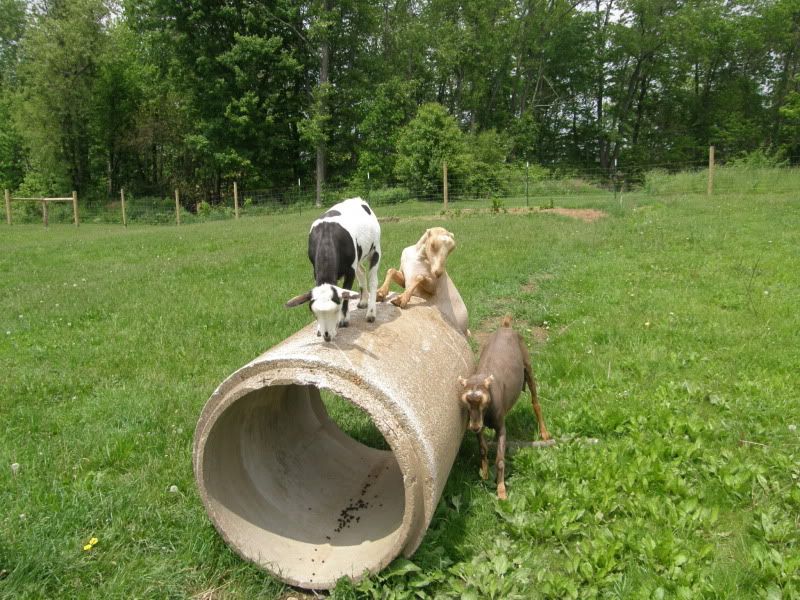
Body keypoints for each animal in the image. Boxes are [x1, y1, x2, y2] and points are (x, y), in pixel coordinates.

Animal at [285, 197, 381, 341]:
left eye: (336, 310)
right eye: (314, 313)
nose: (327, 336)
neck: (327, 236)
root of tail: (358, 199)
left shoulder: (350, 271)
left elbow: (346, 294)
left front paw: (344, 320)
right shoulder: (315, 270)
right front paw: (319, 329)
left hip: (375, 249)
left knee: (373, 280)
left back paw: (371, 313)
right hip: (358, 257)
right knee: (362, 271)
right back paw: (363, 301)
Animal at [458, 316, 551, 499]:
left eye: (482, 400)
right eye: (466, 401)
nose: (474, 427)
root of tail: (506, 326)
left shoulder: (501, 427)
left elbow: (500, 460)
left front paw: (501, 492)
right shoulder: (479, 424)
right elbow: (482, 449)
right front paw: (485, 473)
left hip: (528, 367)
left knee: (535, 402)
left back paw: (544, 433)